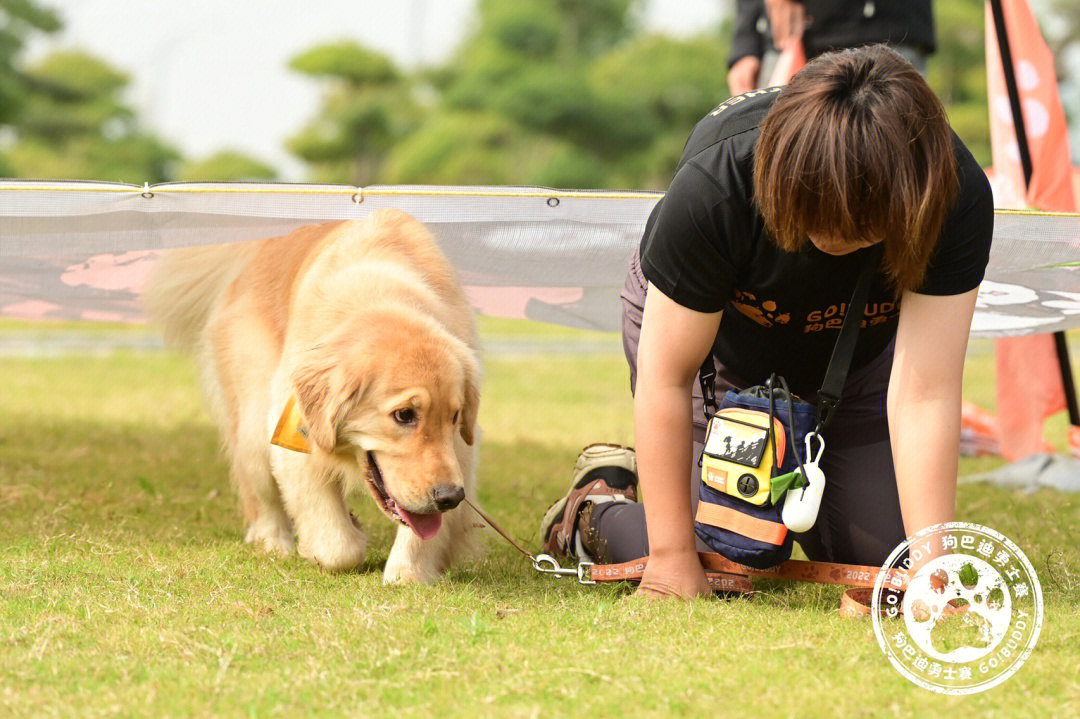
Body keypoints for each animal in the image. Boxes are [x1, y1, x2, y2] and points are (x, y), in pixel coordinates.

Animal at [145, 210, 483, 578]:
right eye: (404, 415)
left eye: (455, 415)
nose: (450, 496)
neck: (381, 293)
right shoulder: (294, 438)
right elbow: (337, 546)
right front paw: (342, 537)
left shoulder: (459, 453)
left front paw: (408, 572)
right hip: (254, 425)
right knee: (260, 493)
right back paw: (273, 541)